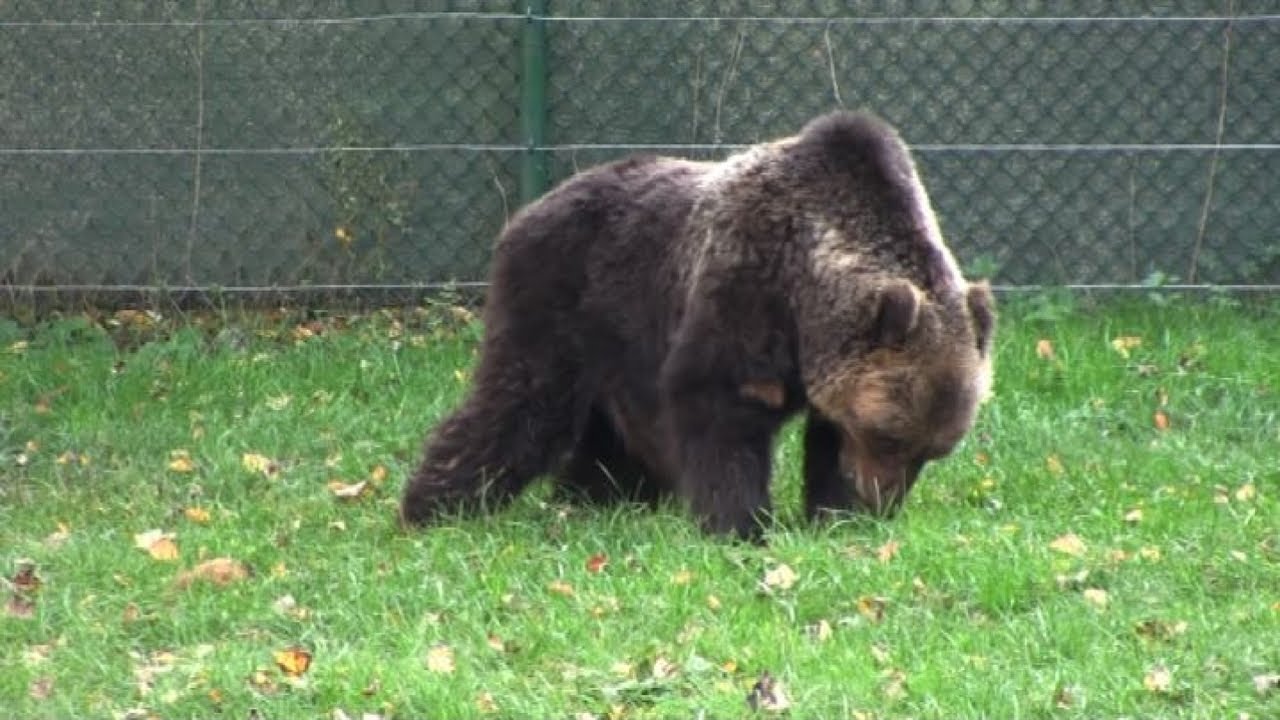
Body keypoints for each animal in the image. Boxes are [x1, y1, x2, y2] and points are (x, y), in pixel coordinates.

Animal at [400, 110, 995, 540]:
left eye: (931, 450)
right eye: (889, 435)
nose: (880, 503)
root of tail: (532, 205)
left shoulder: (832, 362)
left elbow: (826, 437)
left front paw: (835, 516)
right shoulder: (744, 293)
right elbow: (719, 409)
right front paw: (740, 526)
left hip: (622, 350)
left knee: (610, 440)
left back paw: (594, 498)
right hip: (559, 300)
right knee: (520, 405)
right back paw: (432, 506)